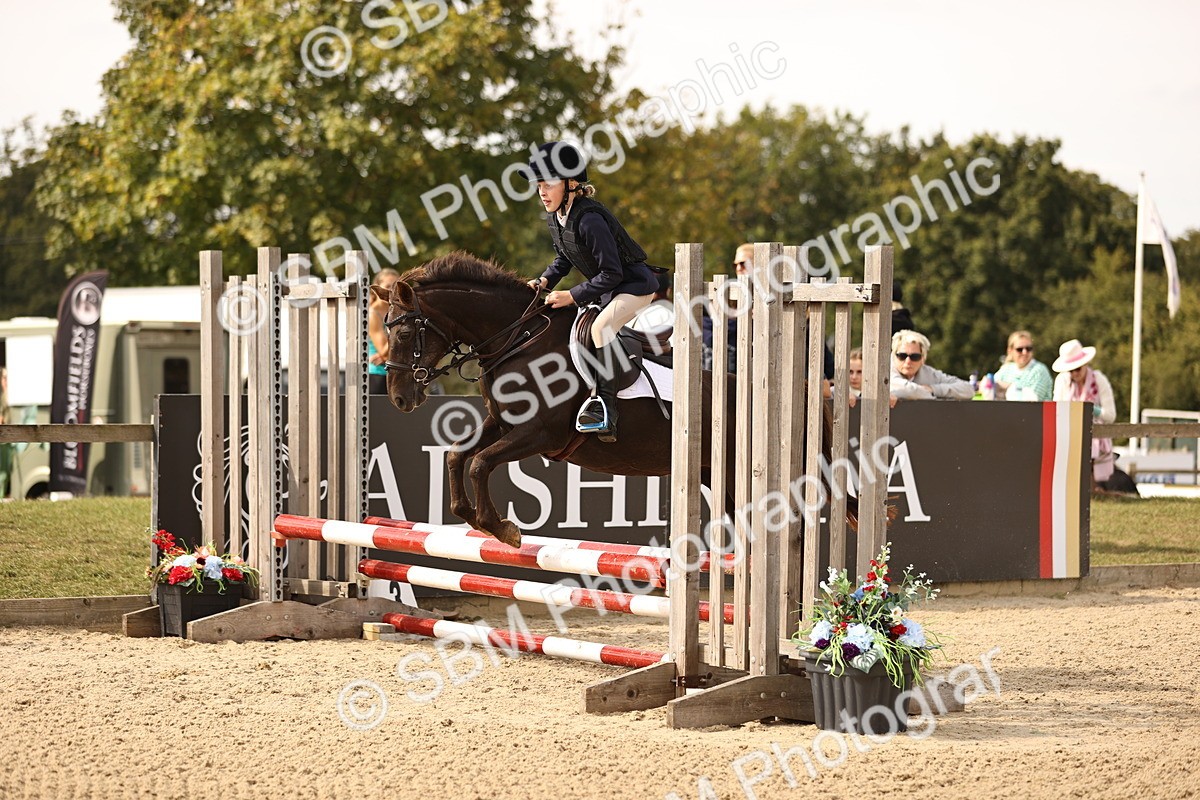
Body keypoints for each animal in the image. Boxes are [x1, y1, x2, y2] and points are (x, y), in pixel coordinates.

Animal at [374, 251, 857, 548]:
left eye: (405, 331)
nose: (398, 397)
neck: (519, 338)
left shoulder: (539, 433)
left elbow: (479, 463)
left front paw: (504, 530)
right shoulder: (503, 424)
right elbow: (458, 456)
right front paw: (476, 519)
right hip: (720, 479)